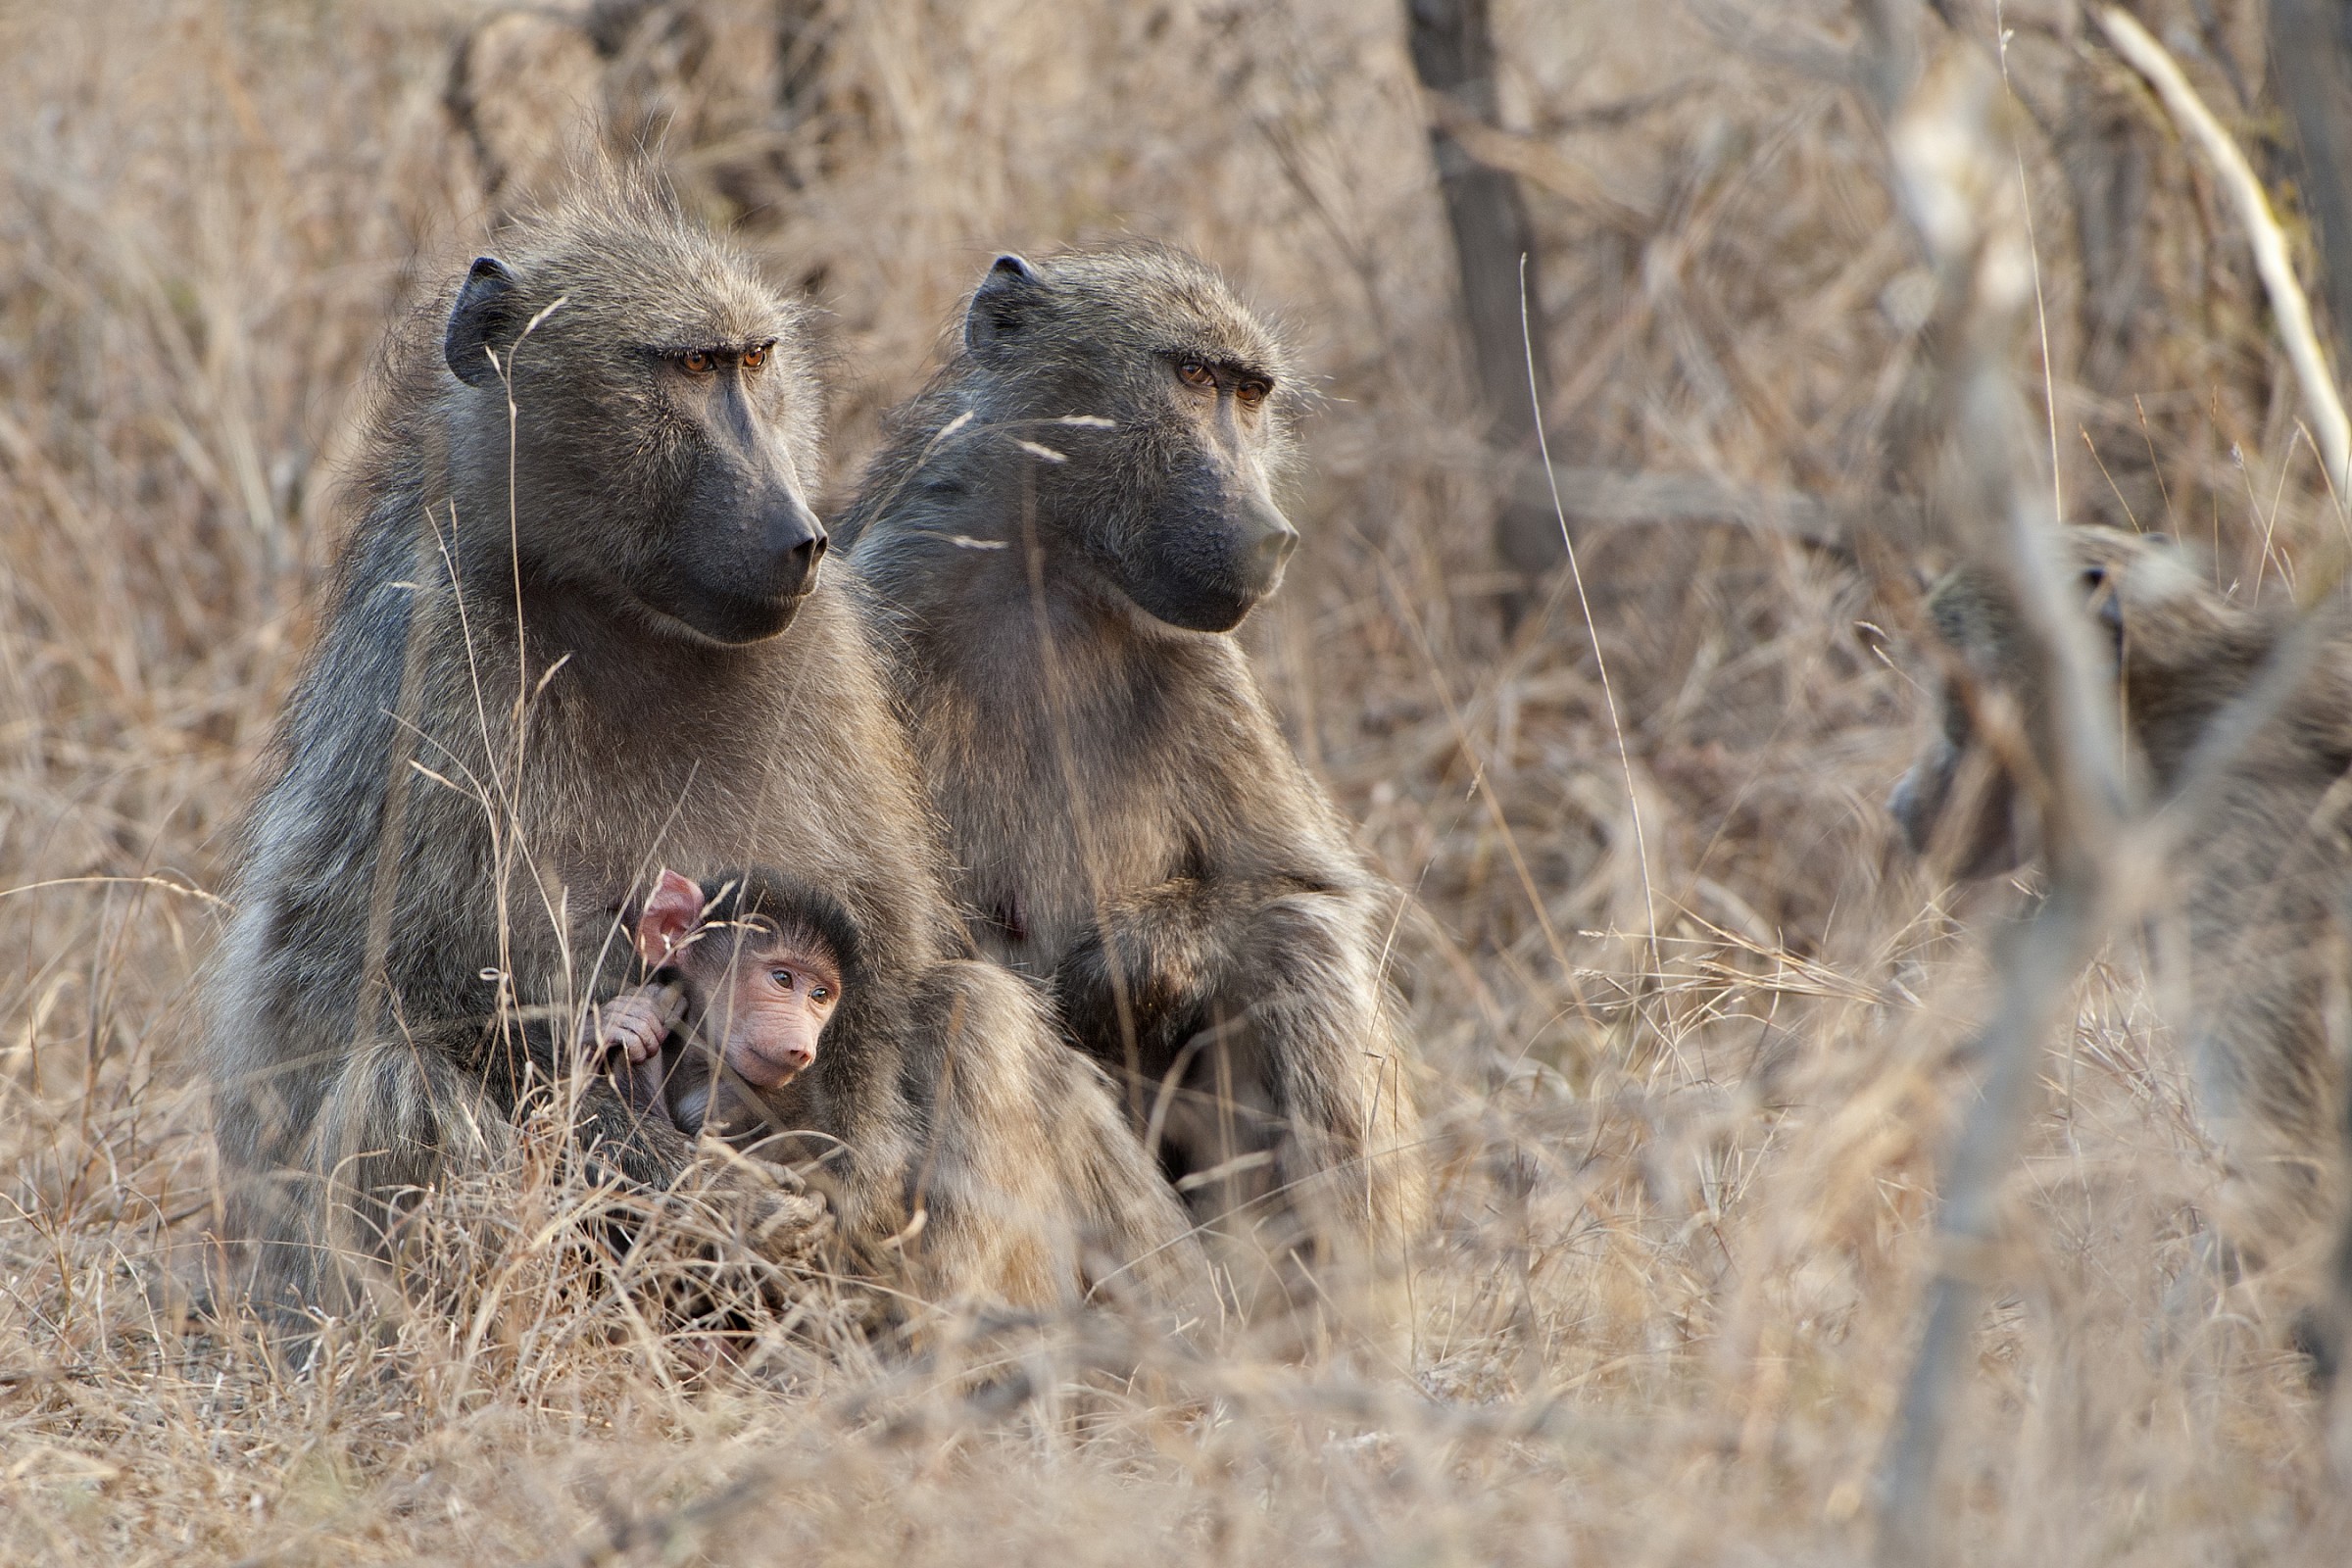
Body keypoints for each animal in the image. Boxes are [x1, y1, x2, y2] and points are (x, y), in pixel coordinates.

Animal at [835, 244, 1427, 1344]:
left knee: (1298, 946)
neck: (1051, 578)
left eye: (1250, 394)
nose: (1271, 534)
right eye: (1190, 378)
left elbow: (1301, 892)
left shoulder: (1208, 664)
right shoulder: (881, 606)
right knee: (964, 1011)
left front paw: (1144, 959)